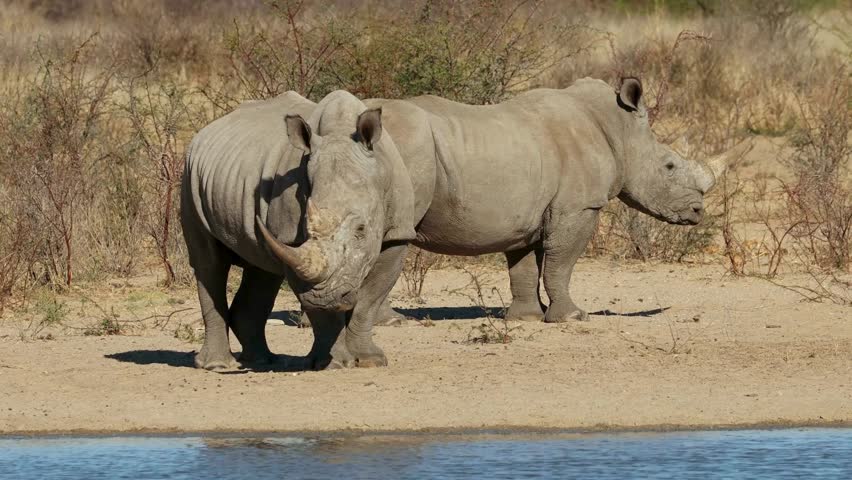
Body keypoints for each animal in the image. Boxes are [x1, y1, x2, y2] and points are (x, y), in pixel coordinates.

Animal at [182, 77, 740, 370]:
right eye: (669, 167)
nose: (697, 212)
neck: (617, 130)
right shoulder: (578, 208)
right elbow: (562, 262)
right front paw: (573, 318)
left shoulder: (526, 211)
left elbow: (523, 265)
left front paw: (524, 320)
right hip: (405, 156)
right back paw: (388, 323)